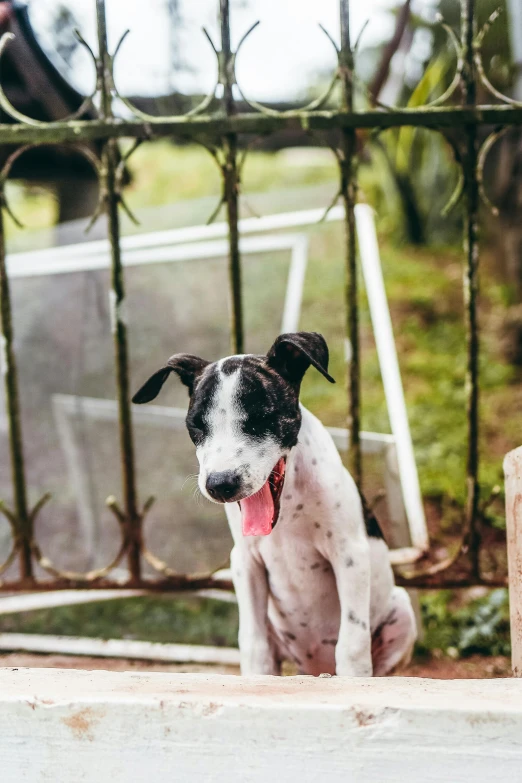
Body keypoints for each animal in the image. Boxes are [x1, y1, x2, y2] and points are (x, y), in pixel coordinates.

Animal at [133, 334, 414, 676]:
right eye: (197, 426)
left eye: (261, 419)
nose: (220, 485)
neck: (289, 508)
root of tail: (315, 668)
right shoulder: (245, 562)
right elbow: (254, 646)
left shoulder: (350, 555)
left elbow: (352, 646)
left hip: (401, 611)